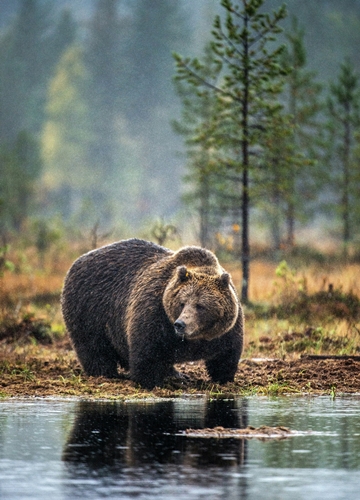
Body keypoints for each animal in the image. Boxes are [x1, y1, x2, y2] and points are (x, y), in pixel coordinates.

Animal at [60, 238, 243, 390]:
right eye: (182, 303)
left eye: (200, 306)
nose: (180, 324)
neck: (196, 338)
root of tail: (78, 261)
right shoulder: (155, 314)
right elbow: (147, 353)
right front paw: (149, 382)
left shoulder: (226, 332)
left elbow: (226, 356)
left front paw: (223, 379)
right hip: (89, 308)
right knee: (93, 347)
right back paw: (105, 374)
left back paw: (176, 374)